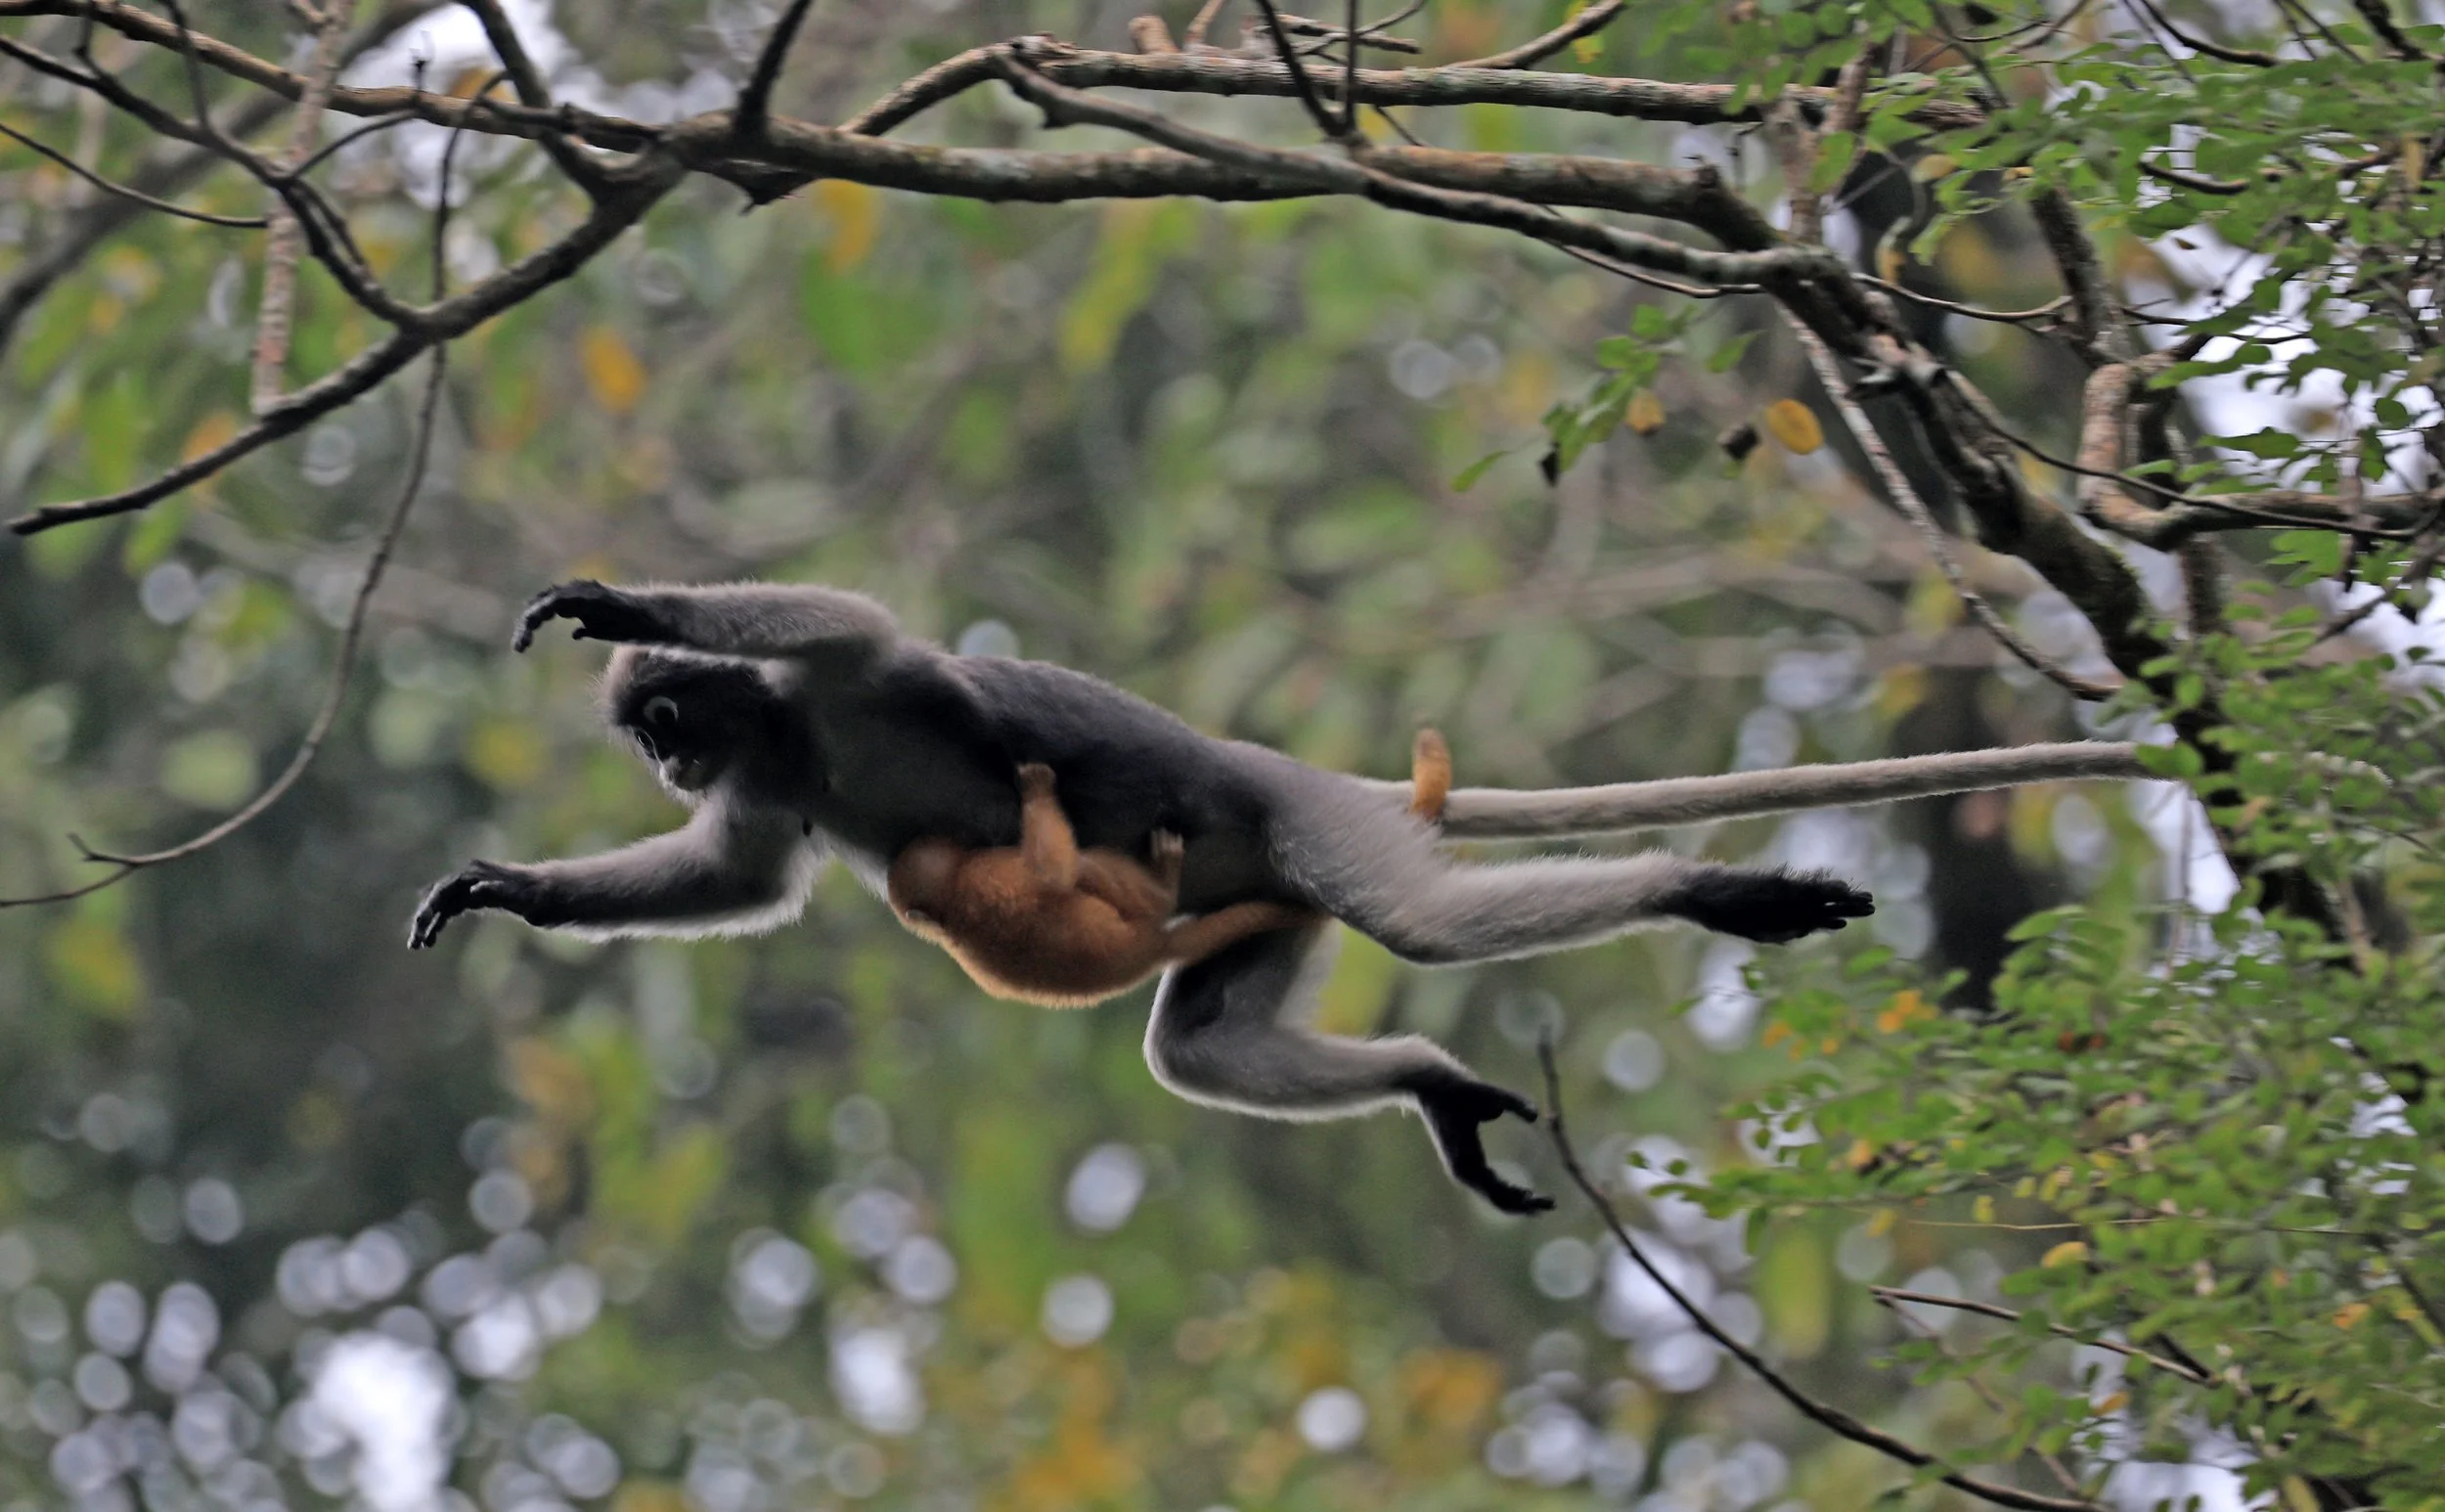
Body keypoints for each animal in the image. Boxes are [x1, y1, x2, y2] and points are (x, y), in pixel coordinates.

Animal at [887, 731, 1452, 1007]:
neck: (949, 906)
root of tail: (1150, 951)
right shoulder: (985, 876)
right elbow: (1053, 876)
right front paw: (1036, 792)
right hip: (1136, 920)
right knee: (1091, 872)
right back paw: (1162, 885)